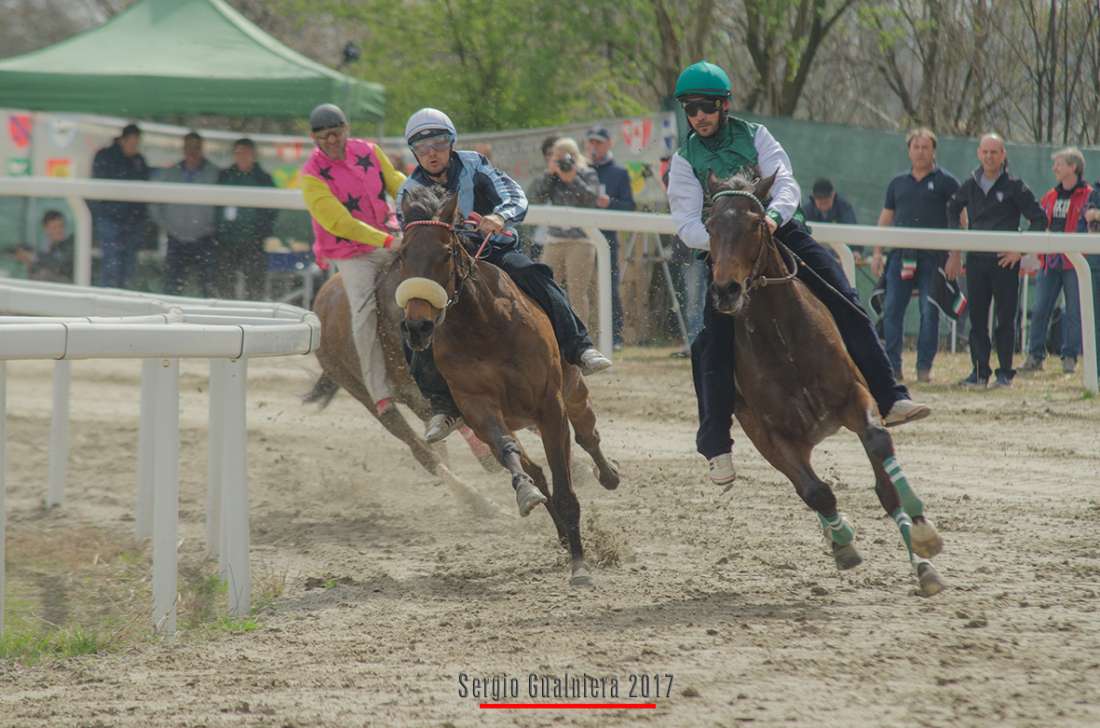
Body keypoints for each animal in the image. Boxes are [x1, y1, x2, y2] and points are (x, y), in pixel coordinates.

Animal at [708, 172, 950, 598]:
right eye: (708, 226)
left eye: (755, 223)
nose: (726, 290)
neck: (783, 338)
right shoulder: (772, 432)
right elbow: (816, 491)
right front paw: (844, 541)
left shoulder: (854, 395)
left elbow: (881, 458)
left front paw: (924, 543)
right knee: (808, 488)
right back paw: (838, 537)